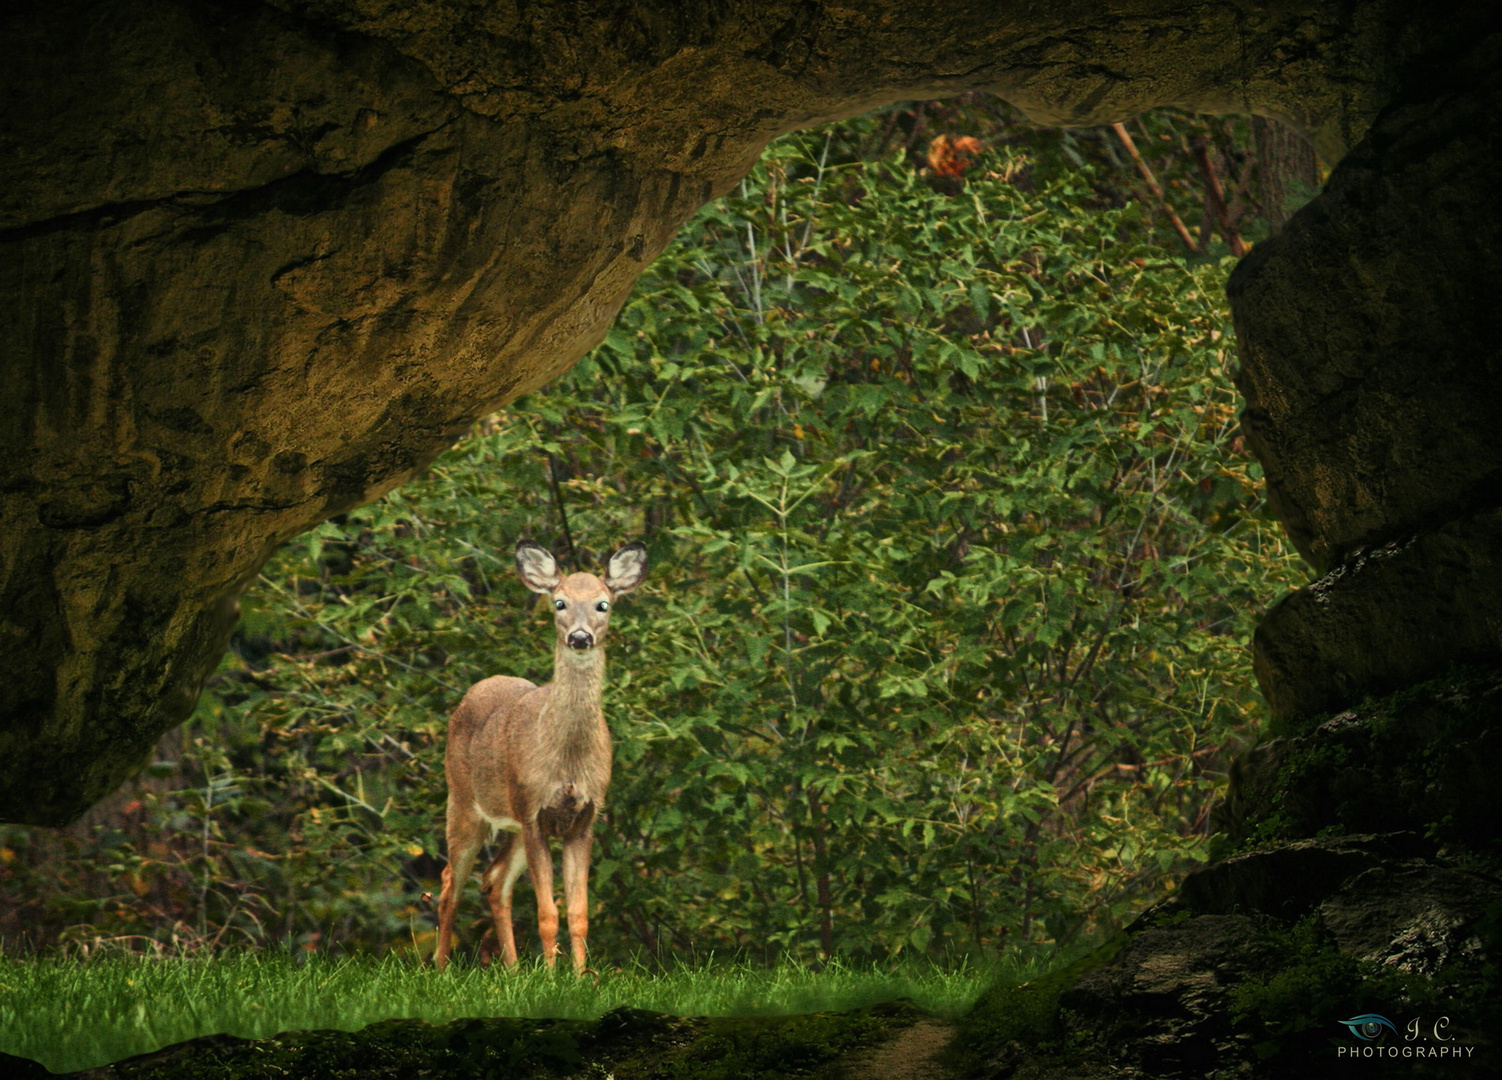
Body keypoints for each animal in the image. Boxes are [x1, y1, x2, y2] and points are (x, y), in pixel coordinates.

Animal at [432, 537, 648, 973]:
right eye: (559, 602)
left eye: (603, 604)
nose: (580, 638)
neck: (568, 759)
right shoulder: (533, 809)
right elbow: (547, 913)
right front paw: (551, 977)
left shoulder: (584, 816)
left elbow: (579, 913)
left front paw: (581, 977)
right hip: (463, 801)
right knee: (450, 884)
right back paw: (440, 967)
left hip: (512, 822)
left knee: (494, 881)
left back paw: (513, 970)